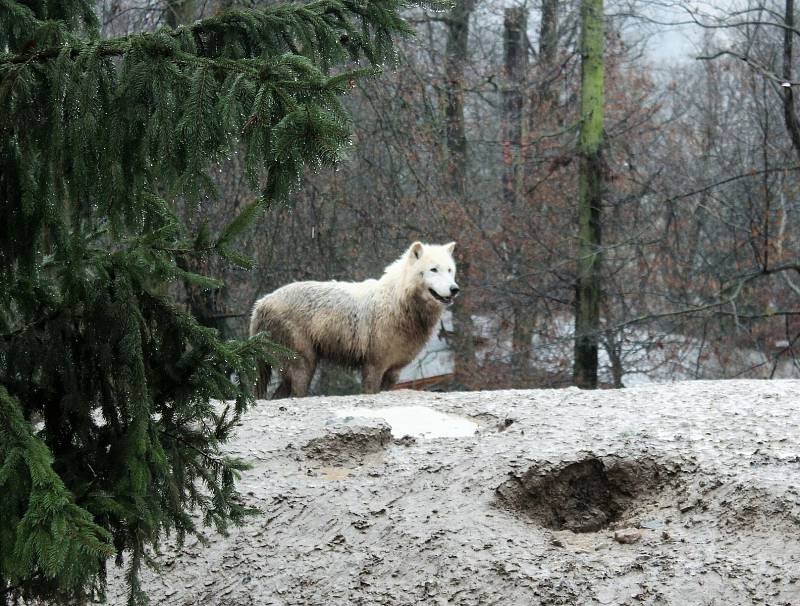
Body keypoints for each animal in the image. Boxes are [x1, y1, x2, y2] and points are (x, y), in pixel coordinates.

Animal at [250, 242, 462, 400]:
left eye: (450, 270)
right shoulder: (374, 365)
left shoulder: (394, 371)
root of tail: (260, 305)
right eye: (433, 269)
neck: (399, 304)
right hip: (304, 364)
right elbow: (370, 391)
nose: (454, 289)